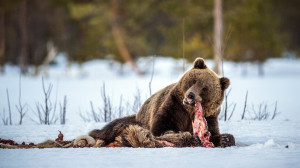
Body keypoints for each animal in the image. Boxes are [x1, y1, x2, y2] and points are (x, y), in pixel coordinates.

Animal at [90, 57, 236, 147]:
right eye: (194, 80)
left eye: (205, 88)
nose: (191, 95)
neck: (189, 111)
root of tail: (139, 112)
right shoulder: (174, 106)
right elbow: (161, 126)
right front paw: (182, 136)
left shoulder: (211, 116)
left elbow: (214, 132)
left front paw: (224, 138)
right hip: (134, 121)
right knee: (110, 128)